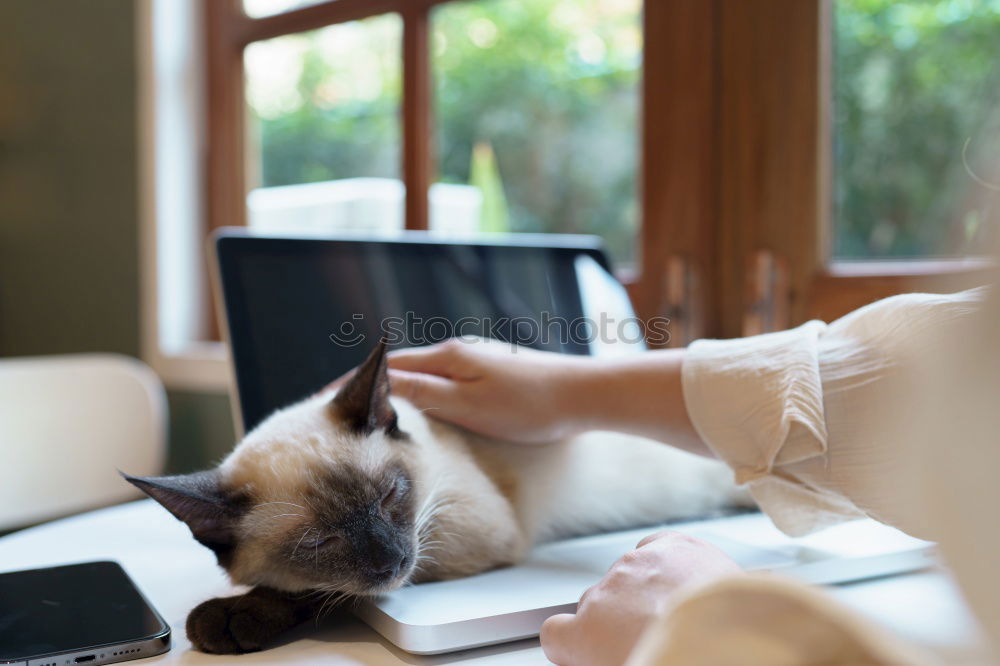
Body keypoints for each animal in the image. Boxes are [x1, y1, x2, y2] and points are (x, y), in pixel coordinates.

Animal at [125, 340, 752, 652]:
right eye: (320, 542)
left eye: (389, 497)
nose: (389, 559)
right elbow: (327, 586)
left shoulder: (462, 528)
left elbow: (326, 593)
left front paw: (231, 619)